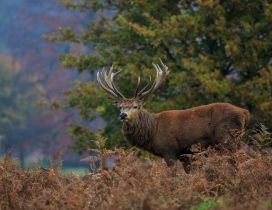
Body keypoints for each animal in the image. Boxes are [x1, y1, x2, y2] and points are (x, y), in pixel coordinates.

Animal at [96, 60, 251, 170]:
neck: (152, 131)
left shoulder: (169, 150)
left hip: (227, 139)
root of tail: (244, 113)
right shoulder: (185, 155)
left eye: (136, 106)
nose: (123, 115)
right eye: (120, 107)